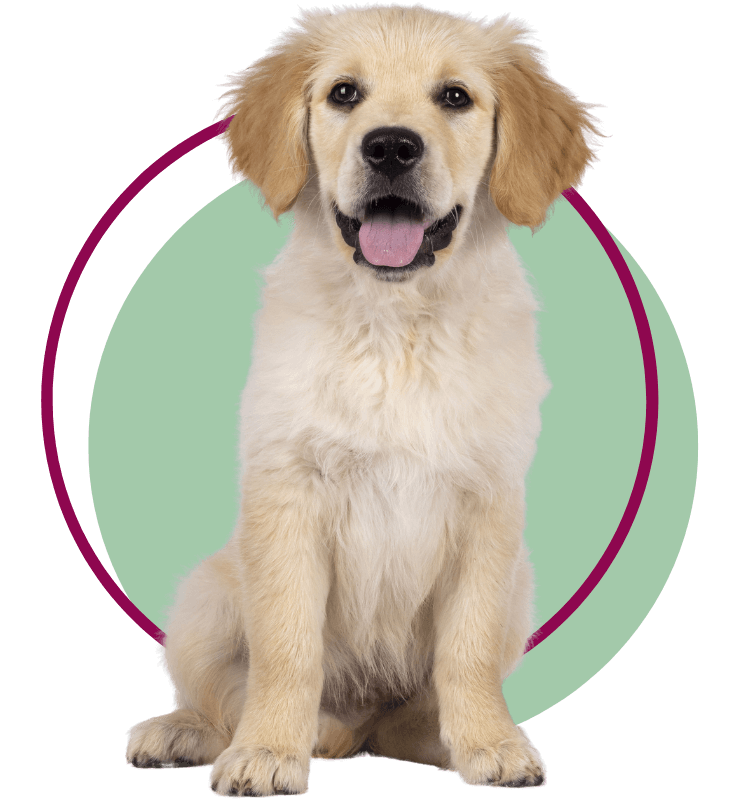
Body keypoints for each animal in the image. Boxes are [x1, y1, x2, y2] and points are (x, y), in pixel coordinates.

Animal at [124, 4, 604, 792]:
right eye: (345, 93)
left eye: (455, 98)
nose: (390, 147)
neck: (394, 324)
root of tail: (359, 728)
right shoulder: (288, 491)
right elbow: (287, 649)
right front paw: (266, 752)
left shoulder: (488, 507)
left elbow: (466, 651)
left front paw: (490, 743)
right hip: (208, 591)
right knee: (216, 693)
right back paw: (187, 732)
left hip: (519, 589)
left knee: (409, 711)